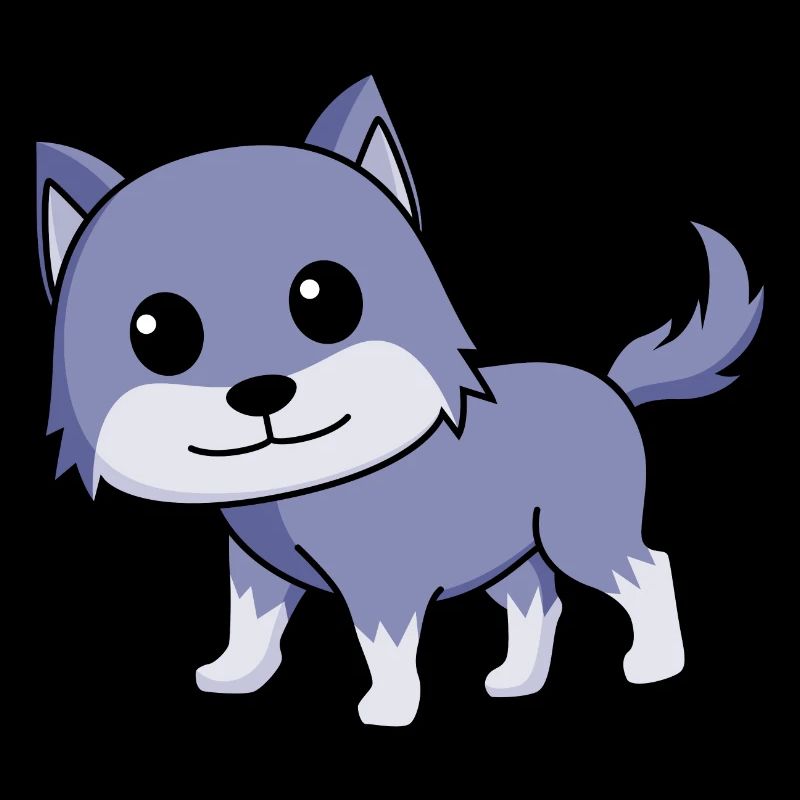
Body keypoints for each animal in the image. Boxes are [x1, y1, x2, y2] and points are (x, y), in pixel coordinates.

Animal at [38, 77, 763, 726]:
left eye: (325, 297)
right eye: (156, 331)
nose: (262, 391)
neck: (297, 485)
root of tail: (610, 386)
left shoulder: (382, 580)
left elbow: (382, 646)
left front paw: (385, 710)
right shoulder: (257, 571)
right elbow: (251, 623)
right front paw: (234, 676)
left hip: (578, 531)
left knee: (645, 570)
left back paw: (655, 665)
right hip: (509, 548)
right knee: (537, 599)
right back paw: (516, 681)